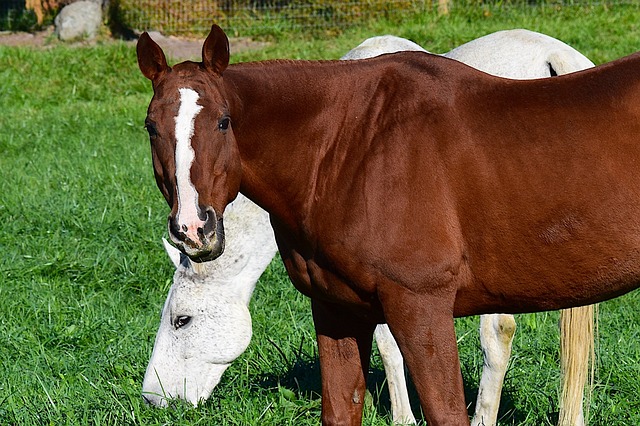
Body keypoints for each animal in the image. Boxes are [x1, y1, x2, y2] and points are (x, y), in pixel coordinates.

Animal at [138, 25, 640, 424]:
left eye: (182, 320)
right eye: (150, 127)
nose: (192, 228)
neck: (346, 146)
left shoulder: (420, 308)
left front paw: (403, 417)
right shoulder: (337, 310)